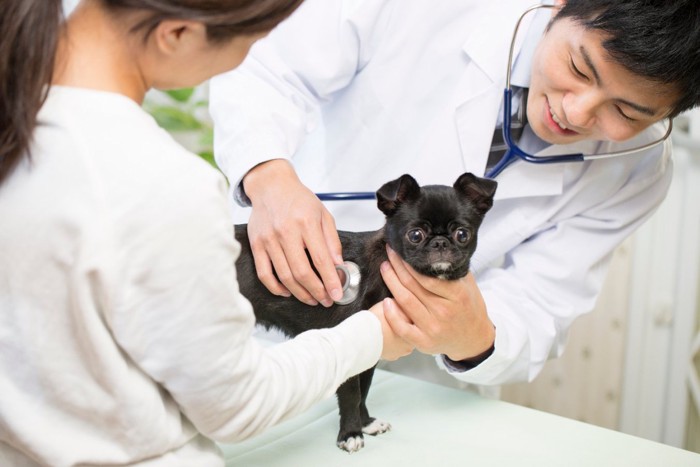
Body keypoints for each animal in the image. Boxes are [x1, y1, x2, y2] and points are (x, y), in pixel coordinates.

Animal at [235, 172, 498, 454]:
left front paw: (367, 423)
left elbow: (365, 389)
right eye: (415, 235)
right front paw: (351, 433)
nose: (440, 242)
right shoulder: (349, 349)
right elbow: (352, 395)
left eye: (462, 234)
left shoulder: (370, 351)